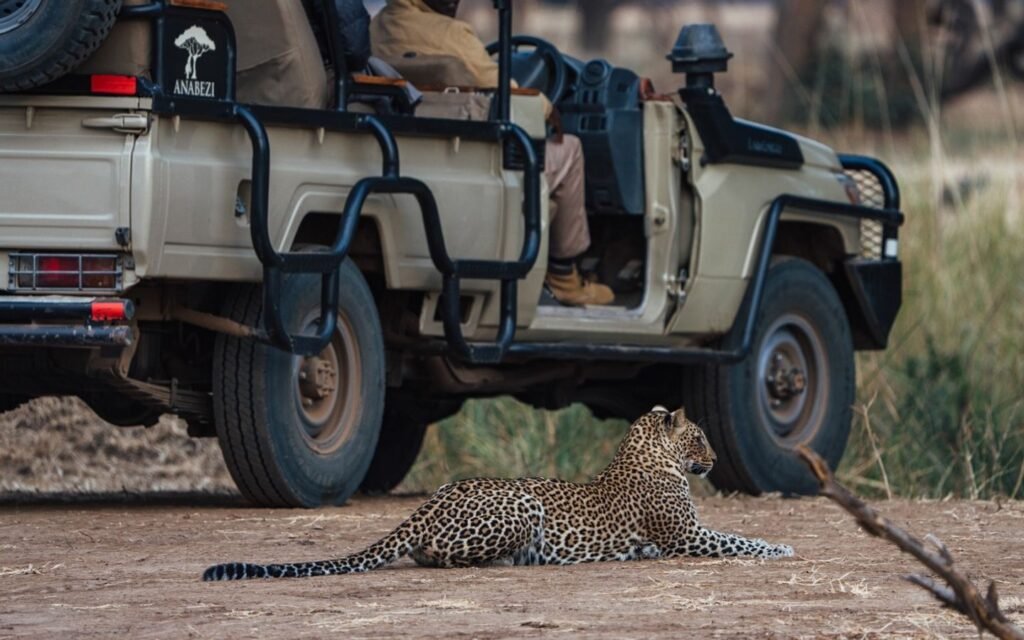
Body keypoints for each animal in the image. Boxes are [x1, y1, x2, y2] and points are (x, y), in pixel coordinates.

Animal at [202, 406, 794, 581]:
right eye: (699, 438)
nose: (714, 461)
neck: (646, 452)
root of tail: (428, 505)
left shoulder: (686, 534)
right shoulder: (688, 536)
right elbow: (740, 540)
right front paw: (783, 547)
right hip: (522, 503)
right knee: (443, 559)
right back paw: (513, 560)